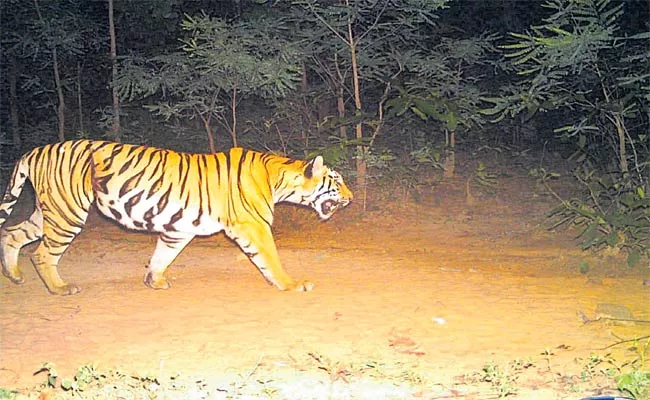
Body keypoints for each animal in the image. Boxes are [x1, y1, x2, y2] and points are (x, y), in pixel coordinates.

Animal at [0, 140, 352, 294]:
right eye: (336, 182)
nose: (350, 198)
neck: (278, 178)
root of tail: (35, 150)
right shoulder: (254, 226)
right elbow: (271, 259)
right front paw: (292, 284)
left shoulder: (178, 229)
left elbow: (163, 255)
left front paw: (154, 281)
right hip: (67, 213)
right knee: (42, 254)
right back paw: (59, 288)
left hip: (49, 211)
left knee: (13, 234)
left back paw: (13, 275)